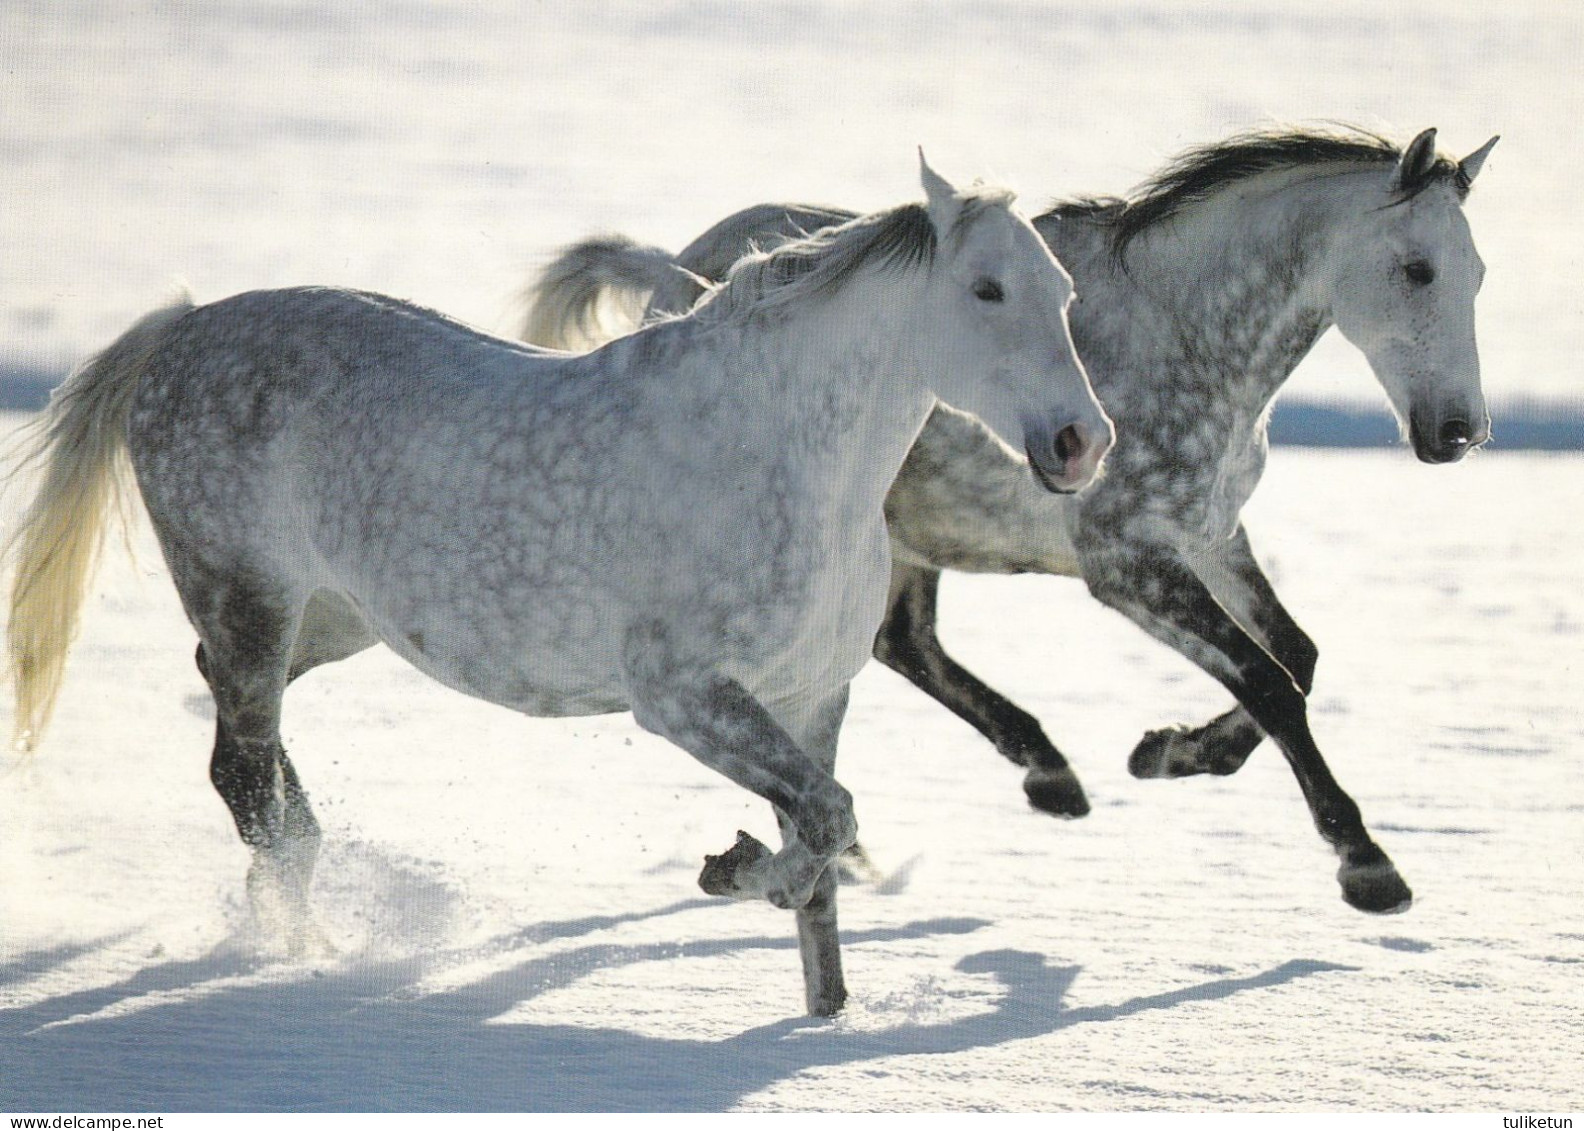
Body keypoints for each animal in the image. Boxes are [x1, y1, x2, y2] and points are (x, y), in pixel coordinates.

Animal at [3, 158, 1115, 1013]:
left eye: (1064, 293)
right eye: (985, 290)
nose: (1081, 442)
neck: (780, 452)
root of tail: (181, 330)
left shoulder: (815, 694)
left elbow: (825, 853)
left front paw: (824, 1018)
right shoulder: (683, 696)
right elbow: (826, 825)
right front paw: (730, 867)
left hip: (331, 621)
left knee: (238, 731)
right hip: (249, 597)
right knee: (239, 770)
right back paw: (306, 950)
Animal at [519, 127, 1495, 912]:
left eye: (1479, 274)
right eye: (1418, 269)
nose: (1458, 432)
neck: (1186, 337)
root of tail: (678, 269)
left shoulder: (1212, 534)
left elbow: (1297, 658)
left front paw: (1167, 752)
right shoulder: (1126, 561)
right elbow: (1269, 680)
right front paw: (1366, 864)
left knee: (905, 643)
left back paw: (1037, 779)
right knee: (888, 650)